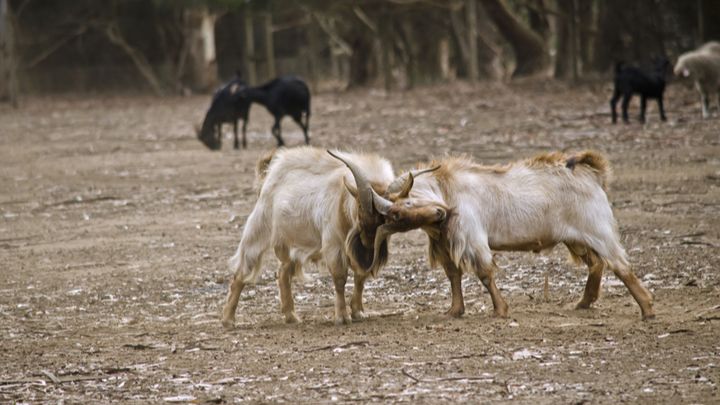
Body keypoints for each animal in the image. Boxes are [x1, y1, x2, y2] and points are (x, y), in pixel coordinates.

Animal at [222, 147, 396, 326]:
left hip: (290, 241)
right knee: (242, 271)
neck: (343, 199)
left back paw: (291, 316)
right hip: (259, 229)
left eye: (383, 219)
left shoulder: (366, 253)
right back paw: (228, 319)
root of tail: (269, 174)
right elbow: (340, 278)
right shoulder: (334, 244)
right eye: (360, 209)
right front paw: (342, 317)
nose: (366, 243)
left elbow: (360, 278)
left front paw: (358, 312)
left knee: (283, 272)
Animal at [368, 151, 656, 318]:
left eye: (406, 203)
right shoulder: (446, 244)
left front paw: (501, 310)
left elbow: (485, 273)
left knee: (621, 266)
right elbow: (454, 275)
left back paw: (647, 309)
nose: (440, 214)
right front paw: (454, 310)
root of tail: (591, 172)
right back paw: (582, 303)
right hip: (576, 238)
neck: (449, 188)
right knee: (597, 264)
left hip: (598, 231)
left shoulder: (472, 237)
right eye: (396, 219)